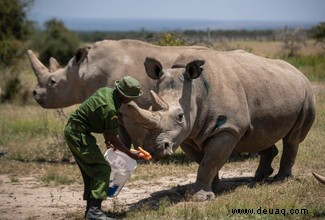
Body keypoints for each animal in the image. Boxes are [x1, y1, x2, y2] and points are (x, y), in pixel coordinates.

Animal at [27, 39, 205, 146]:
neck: (84, 71)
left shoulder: (134, 109)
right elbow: (122, 135)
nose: (34, 93)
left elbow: (136, 134)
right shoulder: (118, 110)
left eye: (52, 82)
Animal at [125, 49, 316, 200]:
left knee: (292, 139)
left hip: (307, 93)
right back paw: (259, 177)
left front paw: (201, 198)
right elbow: (204, 161)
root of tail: (297, 71)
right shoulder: (188, 134)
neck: (196, 89)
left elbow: (209, 161)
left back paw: (281, 179)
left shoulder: (227, 128)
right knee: (259, 133)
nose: (154, 149)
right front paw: (215, 189)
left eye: (180, 116)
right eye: (151, 108)